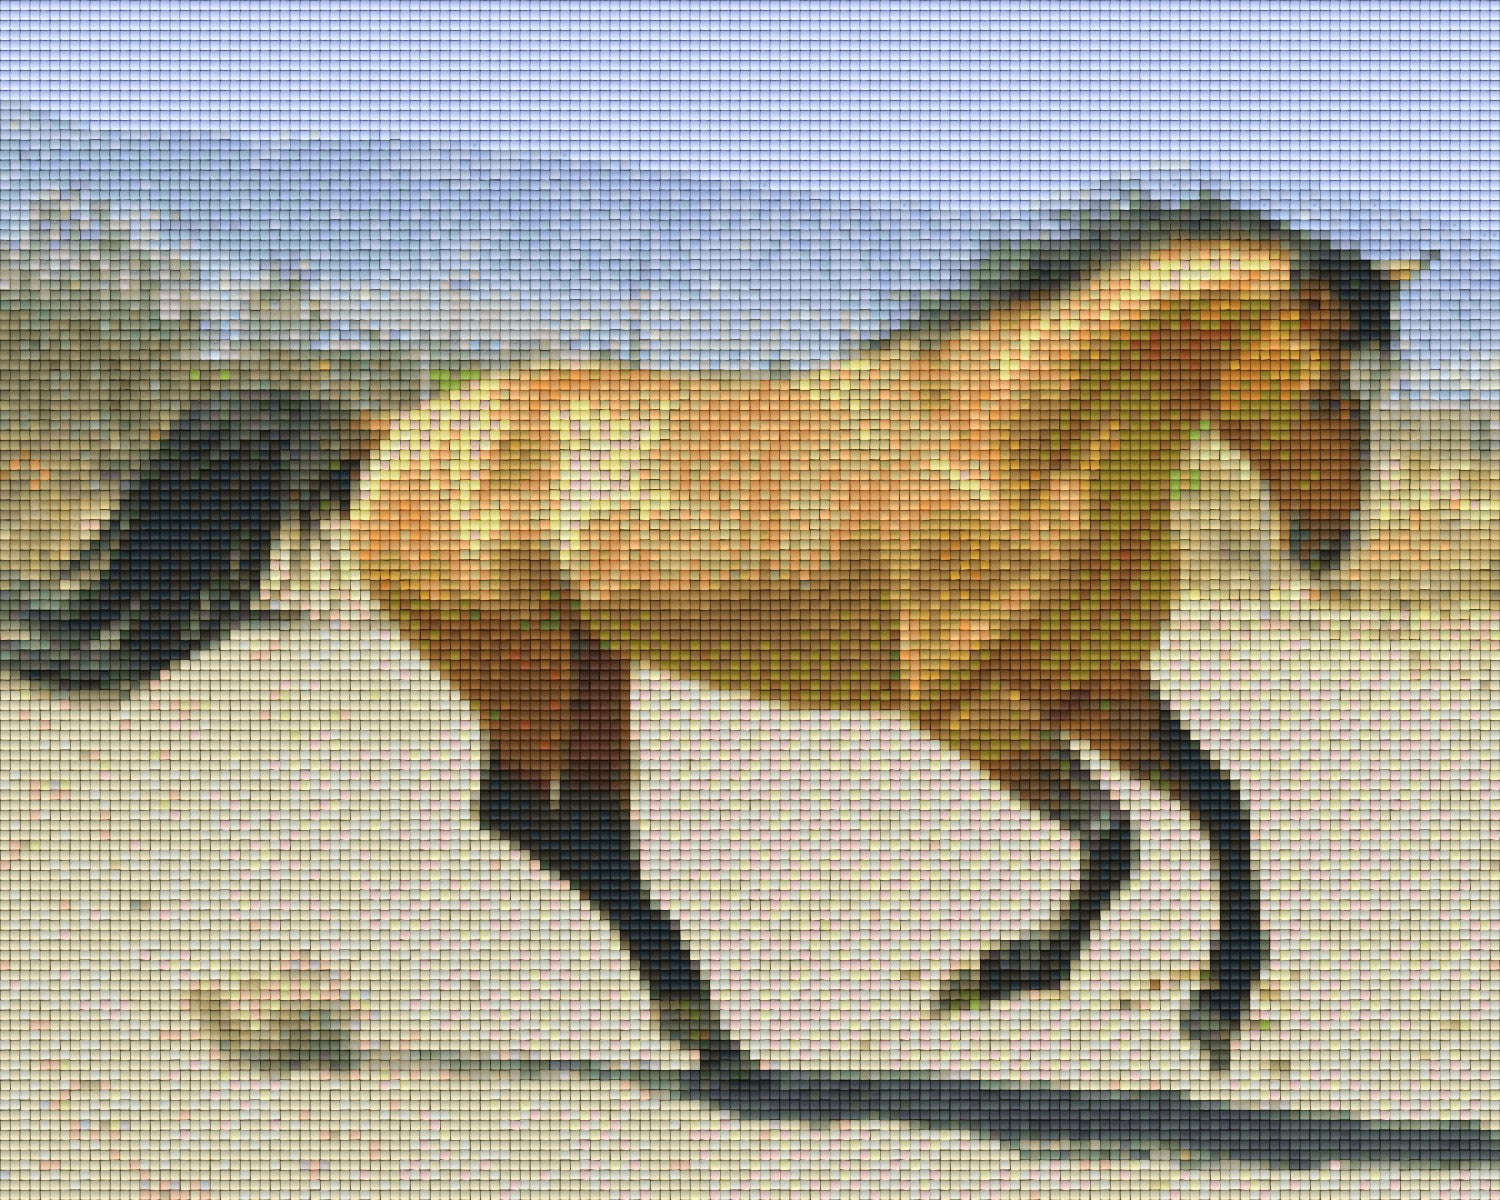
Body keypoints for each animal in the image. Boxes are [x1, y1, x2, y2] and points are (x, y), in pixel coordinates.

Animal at [0, 190, 1423, 1072]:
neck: (1007, 449)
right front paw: (989, 974)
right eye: (1325, 388)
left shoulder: (1093, 683)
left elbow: (1223, 806)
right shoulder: (965, 704)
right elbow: (1116, 839)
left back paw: (715, 1037)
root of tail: (391, 431)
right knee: (529, 819)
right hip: (518, 665)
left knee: (585, 828)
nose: (1326, 548)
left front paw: (1215, 1013)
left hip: (592, 669)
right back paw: (710, 1027)